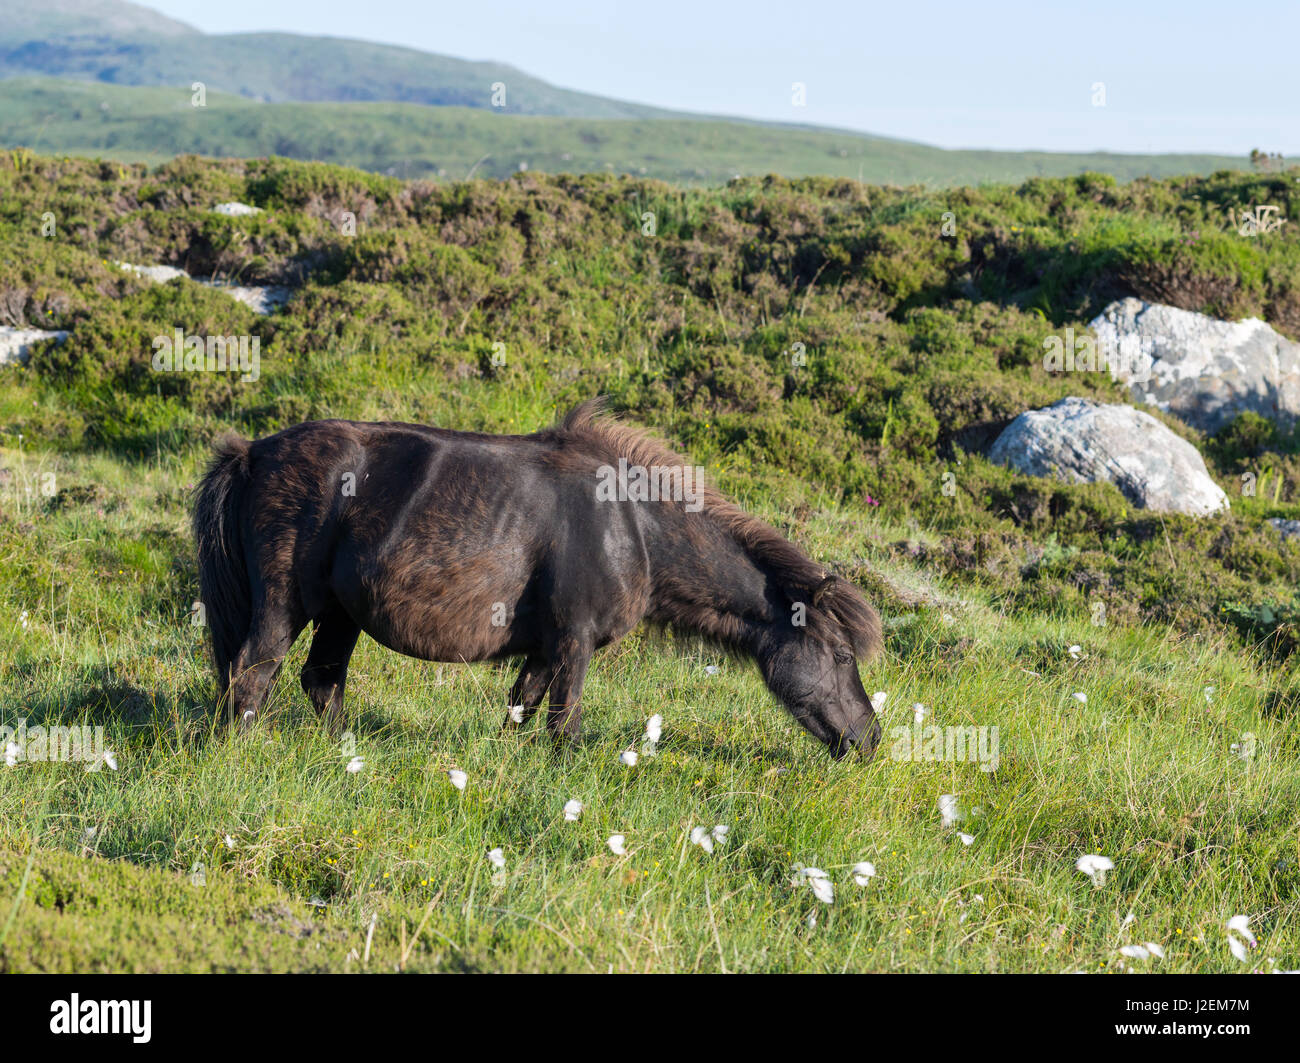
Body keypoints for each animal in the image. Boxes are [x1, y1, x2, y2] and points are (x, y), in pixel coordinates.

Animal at [189, 397, 883, 753]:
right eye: (841, 654)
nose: (869, 738)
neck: (633, 525)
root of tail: (252, 454)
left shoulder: (546, 647)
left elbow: (519, 710)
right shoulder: (575, 642)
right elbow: (563, 727)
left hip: (340, 614)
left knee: (321, 682)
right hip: (285, 606)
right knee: (251, 676)